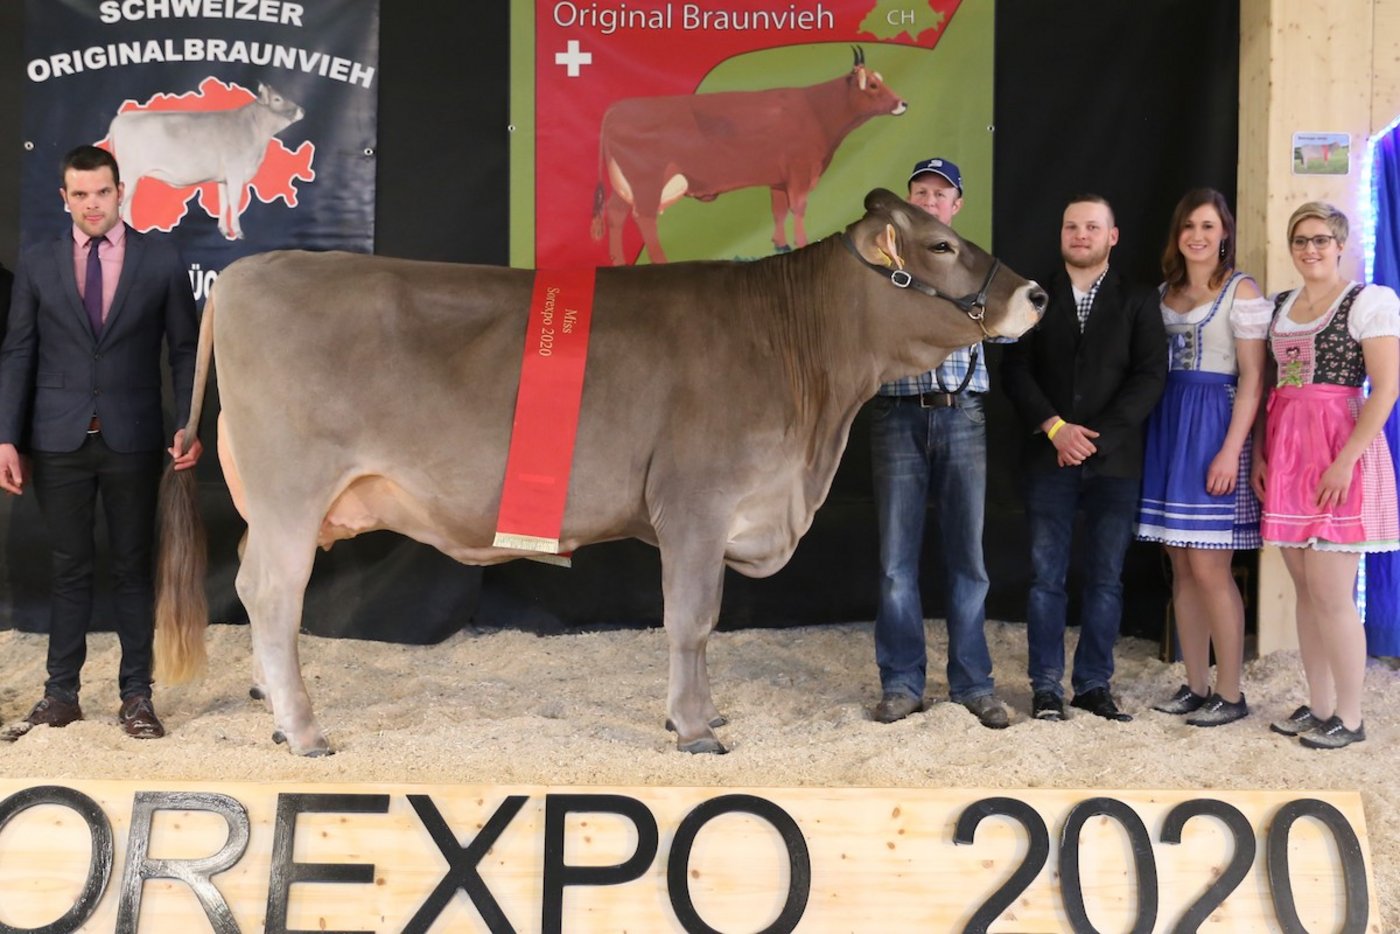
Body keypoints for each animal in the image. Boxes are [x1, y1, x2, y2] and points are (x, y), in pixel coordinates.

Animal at [108, 82, 305, 240]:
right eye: (277, 99)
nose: (301, 110)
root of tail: (121, 118)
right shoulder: (235, 171)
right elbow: (235, 201)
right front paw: (238, 232)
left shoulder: (224, 178)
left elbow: (224, 202)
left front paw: (225, 231)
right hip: (128, 174)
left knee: (127, 205)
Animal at [154, 189, 1047, 756]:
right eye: (941, 246)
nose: (1036, 292)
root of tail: (245, 273)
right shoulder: (695, 506)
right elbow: (693, 621)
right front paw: (694, 730)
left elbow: (700, 627)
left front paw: (705, 715)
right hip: (291, 491)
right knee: (272, 594)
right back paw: (305, 733)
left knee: (256, 589)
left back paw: (276, 713)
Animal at [590, 47, 906, 265]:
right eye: (873, 85)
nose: (903, 103)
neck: (816, 111)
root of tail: (617, 108)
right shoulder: (800, 171)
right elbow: (799, 208)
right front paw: (802, 242)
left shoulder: (779, 179)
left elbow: (778, 210)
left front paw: (780, 244)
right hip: (648, 181)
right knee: (644, 218)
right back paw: (660, 260)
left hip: (626, 185)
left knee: (616, 213)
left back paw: (618, 260)